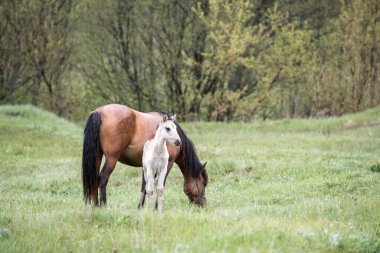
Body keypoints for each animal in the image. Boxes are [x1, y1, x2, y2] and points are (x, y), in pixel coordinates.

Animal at [81, 104, 209, 207]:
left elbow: (144, 186)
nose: (203, 205)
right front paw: (157, 207)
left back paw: (95, 205)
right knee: (103, 178)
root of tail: (99, 112)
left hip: (97, 156)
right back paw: (103, 205)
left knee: (94, 179)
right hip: (112, 159)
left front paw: (140, 207)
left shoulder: (146, 166)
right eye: (203, 183)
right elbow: (160, 184)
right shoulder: (167, 164)